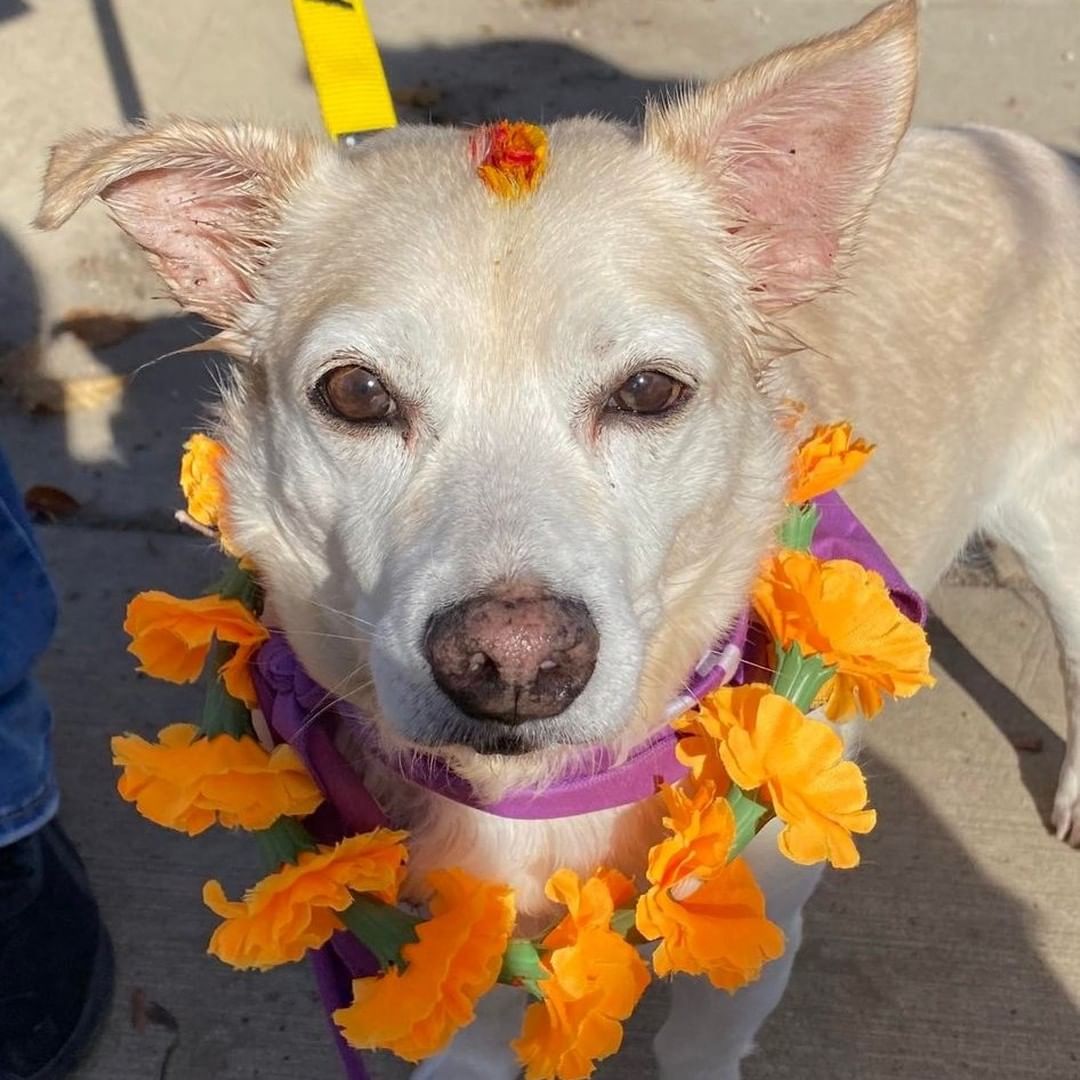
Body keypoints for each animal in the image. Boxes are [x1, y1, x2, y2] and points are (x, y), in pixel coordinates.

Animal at [33, 4, 1080, 1075]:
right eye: (357, 393)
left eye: (649, 391)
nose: (514, 663)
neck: (529, 800)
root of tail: (1017, 147)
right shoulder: (459, 992)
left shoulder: (745, 963)